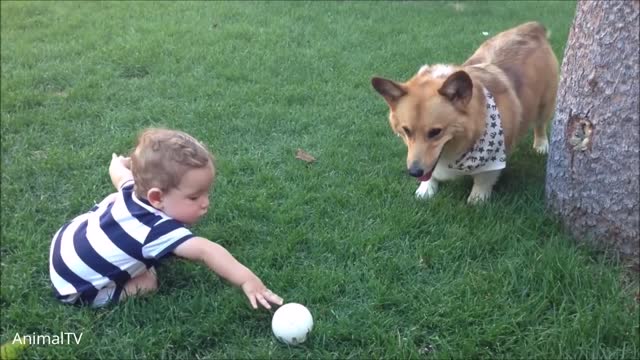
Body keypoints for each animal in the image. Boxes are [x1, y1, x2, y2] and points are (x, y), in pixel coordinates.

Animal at [372, 21, 556, 202]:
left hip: (545, 103)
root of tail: (531, 28)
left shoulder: (494, 160)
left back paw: (541, 145)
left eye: (435, 132)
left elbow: (483, 180)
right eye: (406, 131)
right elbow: (431, 174)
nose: (414, 172)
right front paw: (425, 189)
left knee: (540, 124)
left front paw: (477, 199)